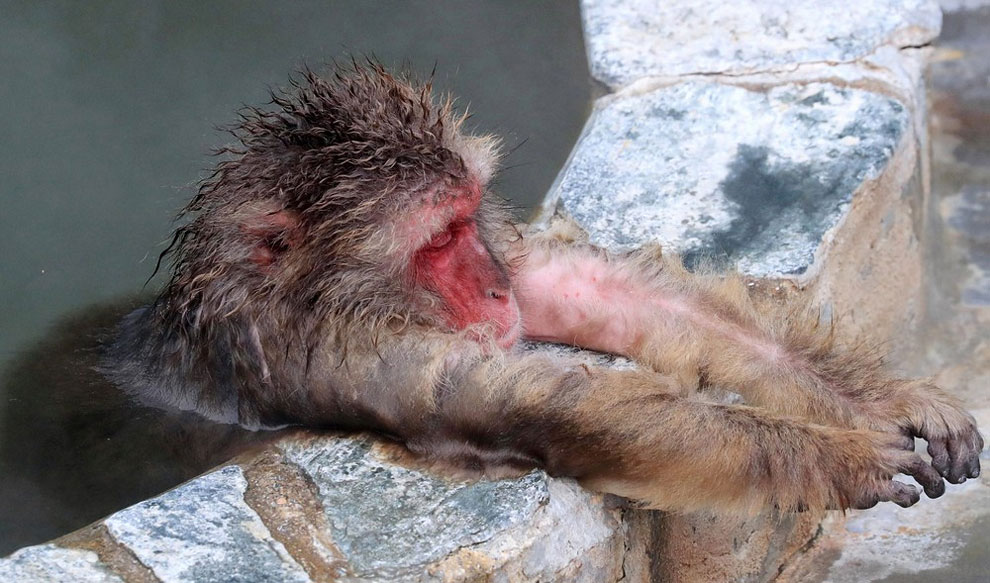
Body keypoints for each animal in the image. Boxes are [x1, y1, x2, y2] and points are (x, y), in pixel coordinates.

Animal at [103, 62, 982, 515]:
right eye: (436, 242)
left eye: (467, 218)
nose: (496, 291)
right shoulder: (349, 352)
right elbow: (544, 402)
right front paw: (832, 454)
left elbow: (613, 295)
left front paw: (890, 401)